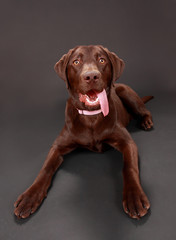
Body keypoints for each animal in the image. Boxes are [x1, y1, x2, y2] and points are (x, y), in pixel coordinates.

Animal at [14, 45, 153, 219]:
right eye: (76, 62)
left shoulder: (127, 142)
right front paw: (29, 197)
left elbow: (129, 167)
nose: (91, 76)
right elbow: (45, 168)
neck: (91, 117)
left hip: (126, 92)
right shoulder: (58, 146)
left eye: (102, 60)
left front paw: (134, 197)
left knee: (144, 110)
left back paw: (146, 121)